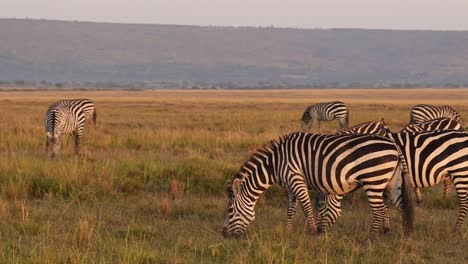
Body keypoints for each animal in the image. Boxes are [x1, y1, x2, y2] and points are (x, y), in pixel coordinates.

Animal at [223, 133, 414, 240]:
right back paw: (406, 237)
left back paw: (370, 239)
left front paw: (313, 234)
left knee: (380, 210)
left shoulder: (296, 179)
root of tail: (394, 145)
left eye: (230, 210)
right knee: (402, 206)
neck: (276, 164)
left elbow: (307, 208)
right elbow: (291, 210)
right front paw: (288, 232)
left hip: (374, 180)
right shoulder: (291, 185)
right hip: (391, 182)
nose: (224, 235)